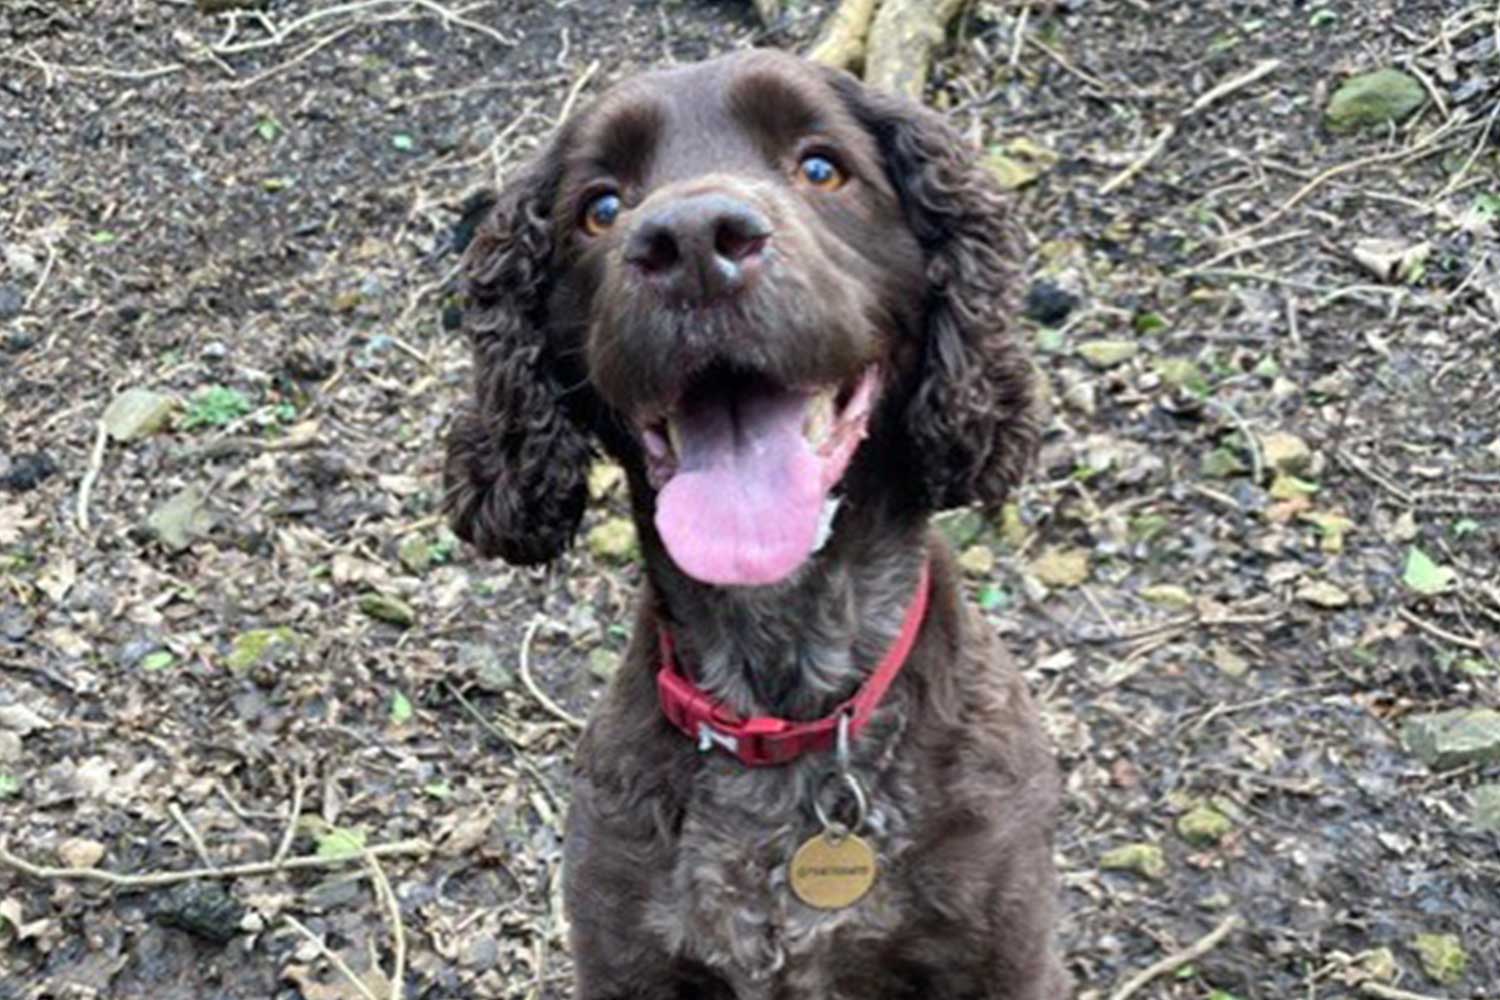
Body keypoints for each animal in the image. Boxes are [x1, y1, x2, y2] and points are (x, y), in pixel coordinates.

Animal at [444, 50, 1068, 1000]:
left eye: (821, 167)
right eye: (600, 207)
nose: (695, 243)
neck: (785, 701)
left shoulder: (1006, 951)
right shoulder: (623, 953)